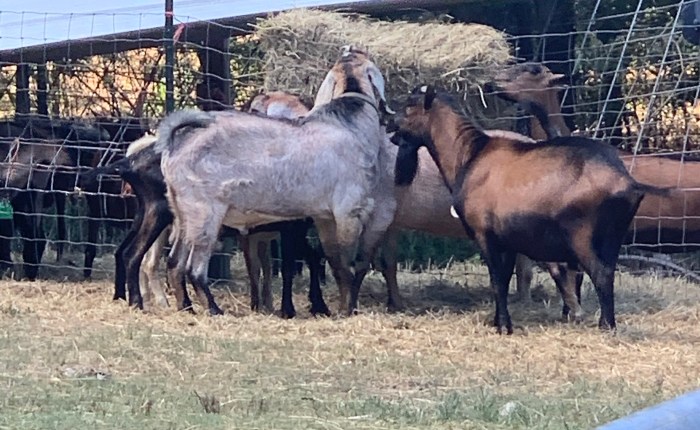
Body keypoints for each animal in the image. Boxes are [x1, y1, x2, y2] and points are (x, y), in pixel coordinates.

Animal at [156, 47, 395, 315]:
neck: (350, 125)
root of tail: (178, 141)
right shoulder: (348, 212)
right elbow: (347, 265)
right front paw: (347, 309)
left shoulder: (324, 217)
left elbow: (335, 262)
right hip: (205, 213)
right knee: (194, 269)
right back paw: (215, 309)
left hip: (182, 213)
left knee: (175, 263)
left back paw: (186, 307)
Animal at [388, 84, 667, 334]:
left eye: (410, 106)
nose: (389, 124)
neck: (469, 154)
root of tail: (627, 182)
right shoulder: (507, 240)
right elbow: (504, 279)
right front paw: (498, 321)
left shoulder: (484, 235)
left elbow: (496, 282)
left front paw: (504, 327)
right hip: (614, 237)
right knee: (606, 272)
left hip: (583, 236)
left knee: (601, 274)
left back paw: (606, 326)